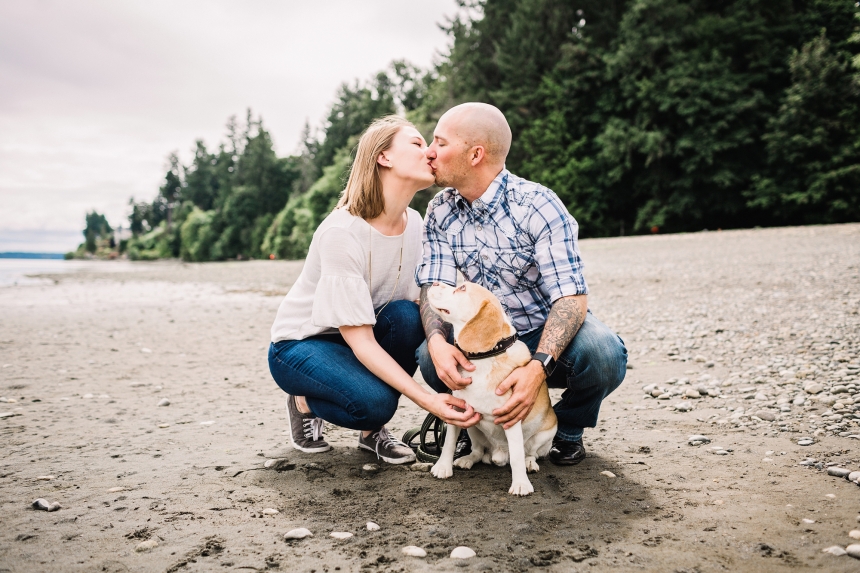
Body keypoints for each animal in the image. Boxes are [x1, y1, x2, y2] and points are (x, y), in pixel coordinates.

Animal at [424, 280, 556, 494]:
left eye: (462, 288)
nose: (434, 282)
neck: (482, 359)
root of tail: (498, 454)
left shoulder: (511, 417)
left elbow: (517, 456)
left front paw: (521, 483)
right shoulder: (458, 412)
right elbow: (449, 443)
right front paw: (443, 466)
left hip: (545, 436)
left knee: (530, 453)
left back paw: (529, 463)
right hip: (472, 428)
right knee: (478, 451)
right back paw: (468, 459)